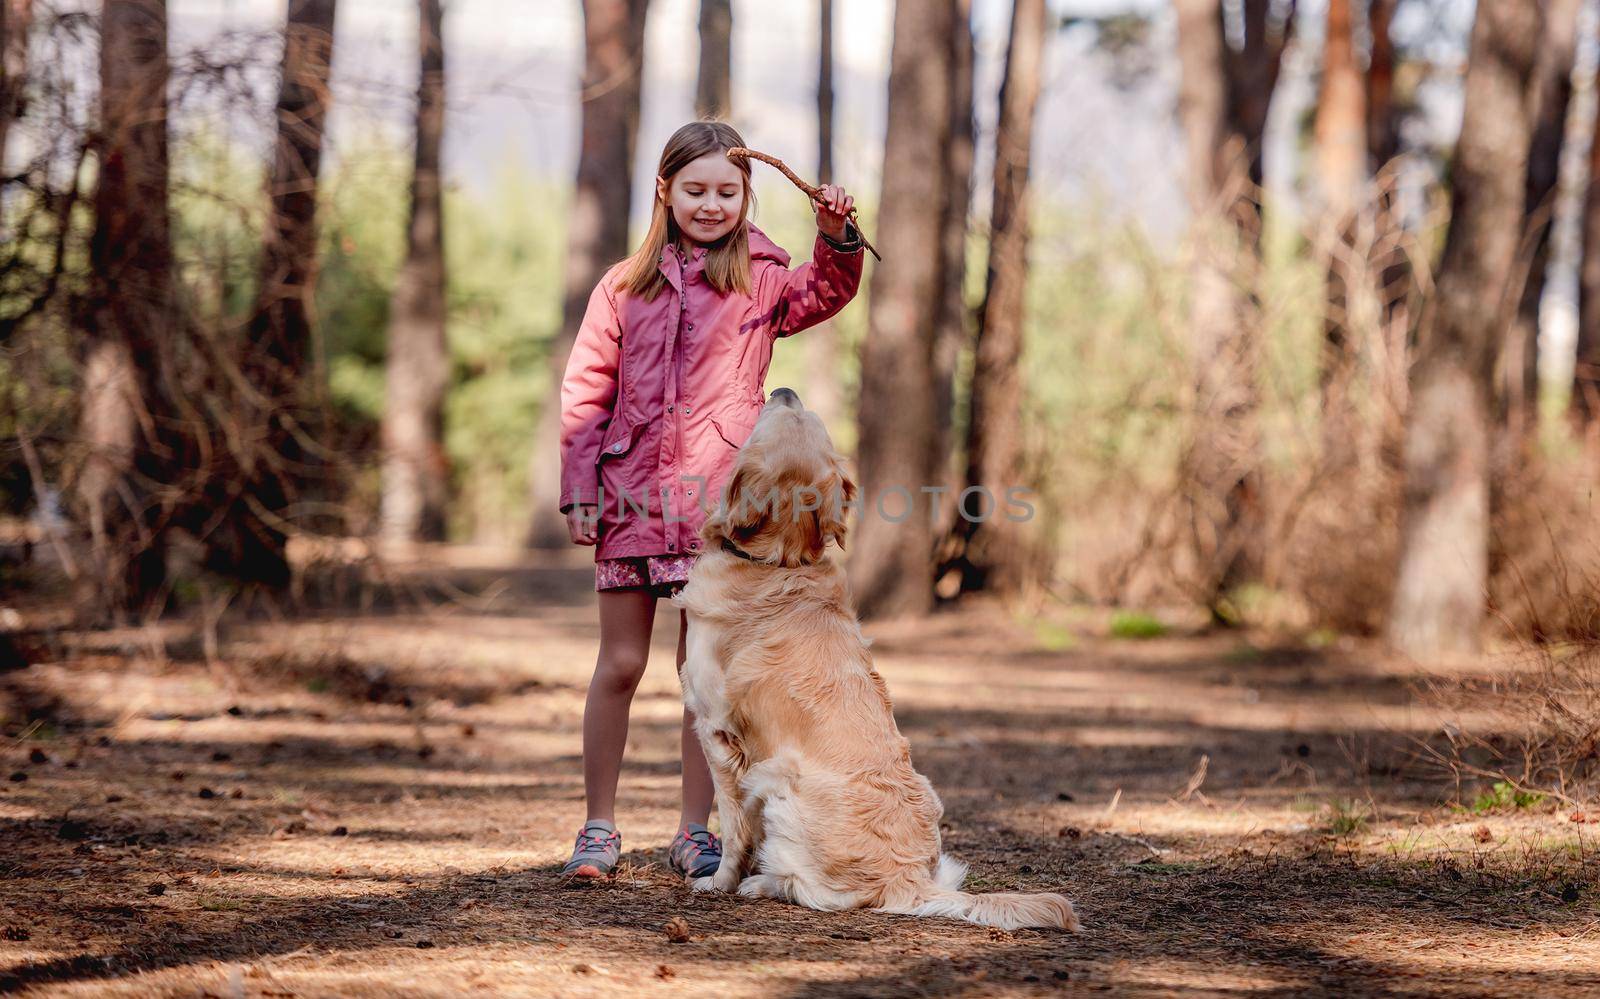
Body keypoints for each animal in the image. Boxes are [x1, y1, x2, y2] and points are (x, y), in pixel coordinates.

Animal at [668, 385, 1081, 934]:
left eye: (785, 416)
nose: (785, 390)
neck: (778, 560)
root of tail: (908, 878)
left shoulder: (719, 734)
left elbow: (735, 828)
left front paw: (720, 881)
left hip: (780, 781)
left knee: (817, 891)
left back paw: (764, 883)